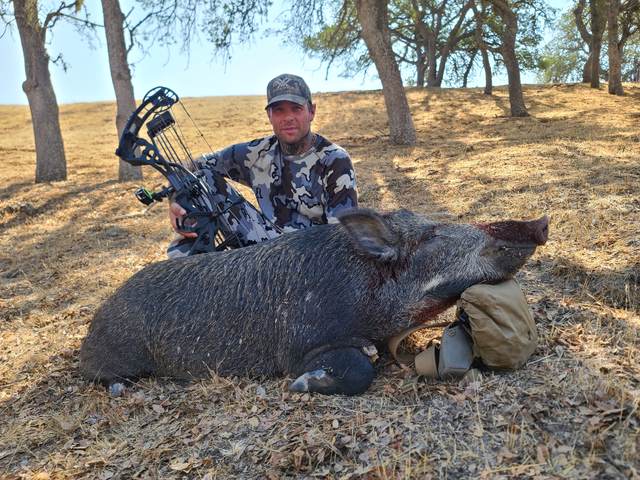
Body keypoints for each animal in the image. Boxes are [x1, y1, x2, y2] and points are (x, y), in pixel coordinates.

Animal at [80, 208, 548, 395]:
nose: (540, 222)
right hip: (112, 356)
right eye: (431, 235)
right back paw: (121, 388)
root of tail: (94, 321)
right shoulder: (299, 345)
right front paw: (301, 385)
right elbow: (360, 366)